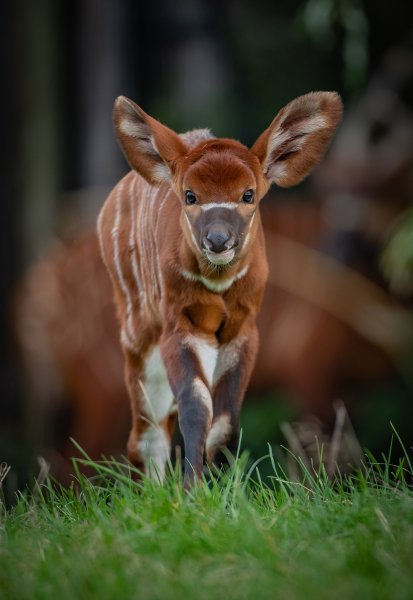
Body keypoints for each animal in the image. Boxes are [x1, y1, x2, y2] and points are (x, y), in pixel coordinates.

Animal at [96, 91, 342, 486]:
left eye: (248, 194)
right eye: (190, 195)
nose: (218, 239)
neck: (218, 282)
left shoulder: (242, 331)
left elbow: (225, 420)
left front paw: (220, 487)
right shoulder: (181, 327)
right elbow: (197, 407)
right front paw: (192, 490)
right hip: (137, 333)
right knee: (146, 431)